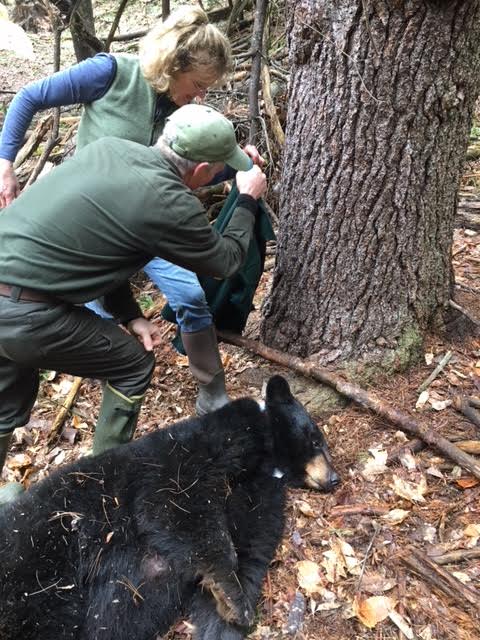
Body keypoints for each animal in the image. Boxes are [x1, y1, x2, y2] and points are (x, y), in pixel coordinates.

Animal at [0, 376, 340, 640]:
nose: (335, 478)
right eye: (316, 439)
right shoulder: (195, 447)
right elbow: (175, 499)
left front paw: (228, 612)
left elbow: (252, 542)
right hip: (39, 556)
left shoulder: (261, 491)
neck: (266, 456)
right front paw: (231, 594)